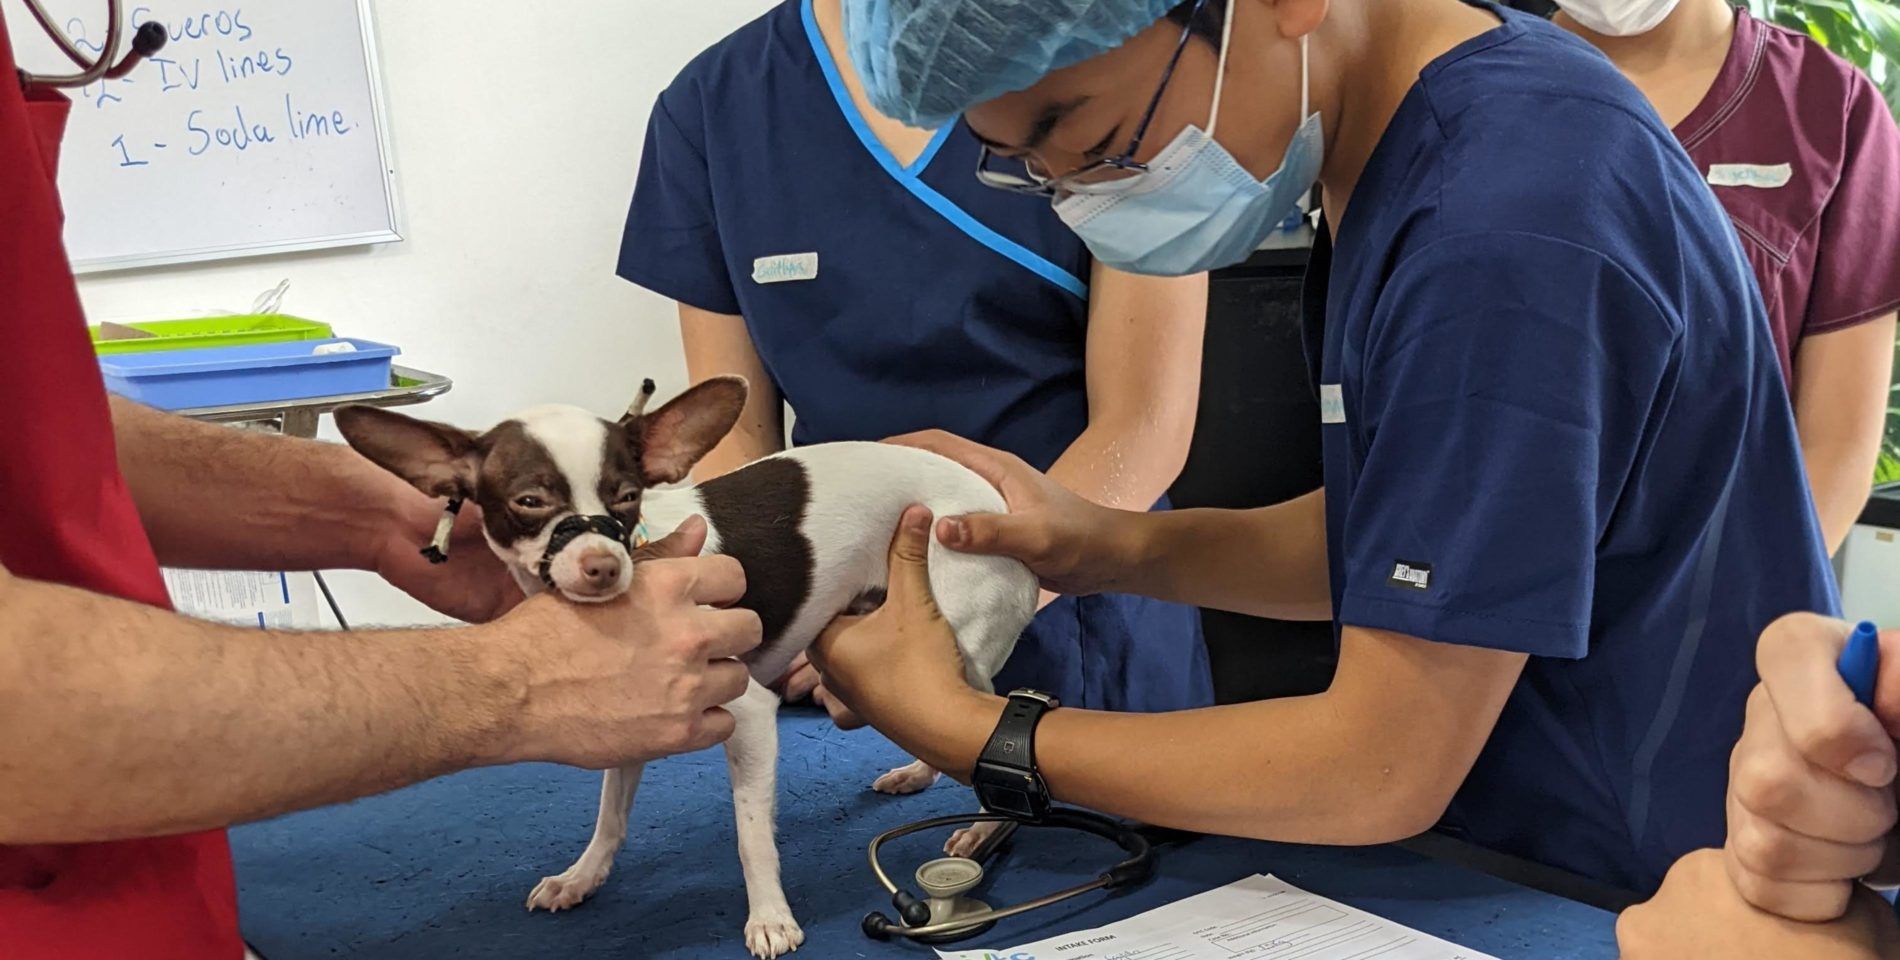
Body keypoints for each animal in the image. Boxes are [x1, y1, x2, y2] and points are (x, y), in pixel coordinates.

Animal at [334, 378, 1033, 954]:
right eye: (528, 501)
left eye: (626, 497)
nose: (602, 564)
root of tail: (999, 504)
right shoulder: (632, 718)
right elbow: (609, 817)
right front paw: (582, 877)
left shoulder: (751, 716)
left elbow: (751, 835)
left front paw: (769, 918)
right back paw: (917, 775)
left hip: (963, 640)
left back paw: (981, 828)